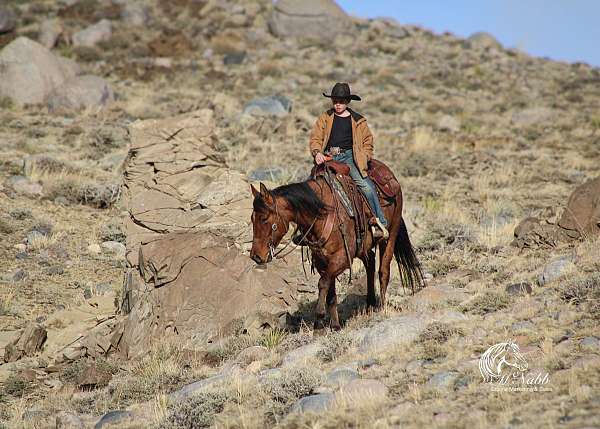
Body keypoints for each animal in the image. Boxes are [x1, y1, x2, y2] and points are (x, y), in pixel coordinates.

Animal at [247, 162, 422, 330]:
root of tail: (390, 176)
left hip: (390, 234)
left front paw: (318, 321)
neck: (322, 214)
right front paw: (335, 325)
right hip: (362, 247)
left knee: (383, 270)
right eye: (252, 218)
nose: (256, 256)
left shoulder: (342, 258)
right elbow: (330, 292)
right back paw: (370, 304)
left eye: (264, 218)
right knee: (370, 261)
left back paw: (381, 307)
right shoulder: (322, 261)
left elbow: (323, 283)